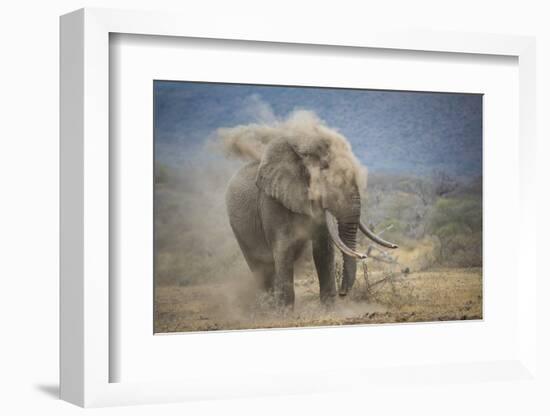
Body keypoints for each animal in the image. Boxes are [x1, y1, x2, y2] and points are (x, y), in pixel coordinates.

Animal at [226, 114, 398, 308]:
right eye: (324, 171)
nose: (343, 293)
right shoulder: (271, 200)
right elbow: (284, 249)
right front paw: (285, 312)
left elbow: (324, 249)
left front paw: (329, 308)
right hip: (239, 229)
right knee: (259, 265)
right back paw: (267, 307)